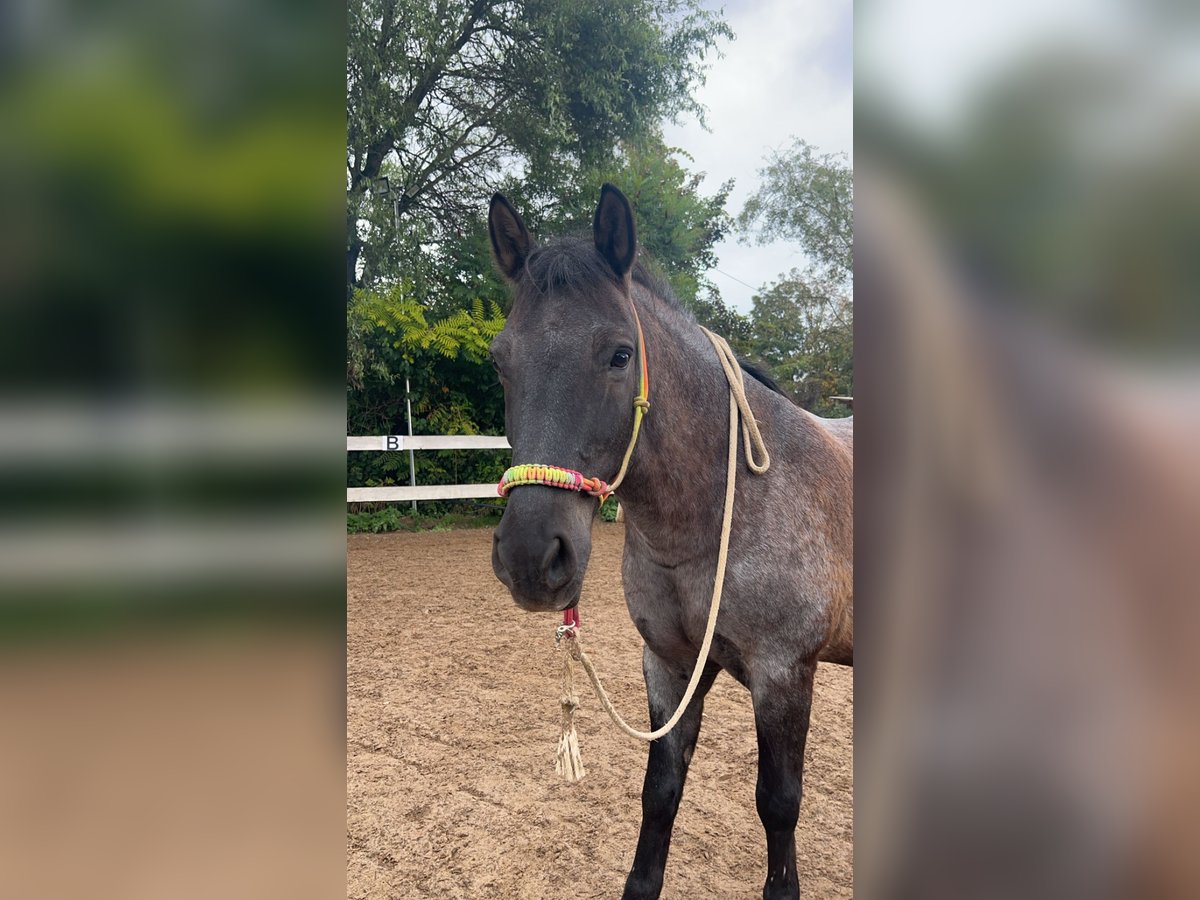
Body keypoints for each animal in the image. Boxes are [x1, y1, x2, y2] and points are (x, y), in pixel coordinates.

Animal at [487, 184, 854, 900]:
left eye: (619, 354)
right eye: (500, 360)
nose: (530, 558)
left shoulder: (784, 675)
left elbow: (779, 804)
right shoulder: (670, 665)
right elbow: (659, 795)